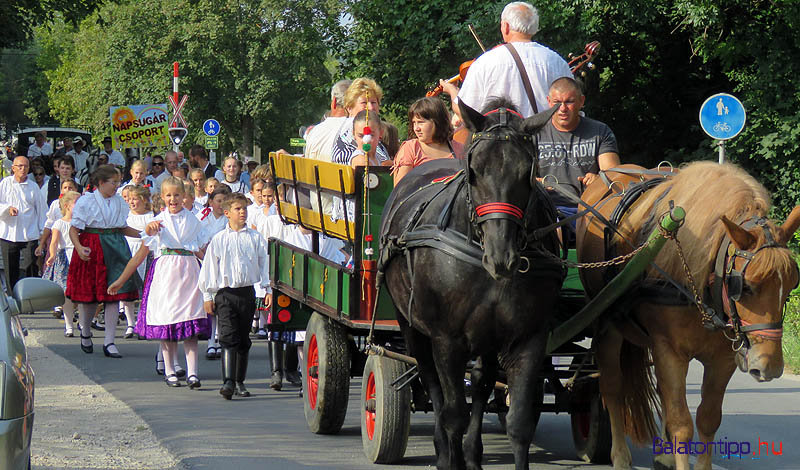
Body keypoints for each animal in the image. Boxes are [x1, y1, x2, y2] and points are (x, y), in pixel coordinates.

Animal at [576, 162, 800, 470]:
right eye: (745, 286)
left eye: (790, 286)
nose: (770, 367)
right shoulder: (669, 351)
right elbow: (682, 424)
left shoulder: (722, 359)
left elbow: (707, 418)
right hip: (608, 325)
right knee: (612, 388)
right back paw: (620, 456)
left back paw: (664, 455)